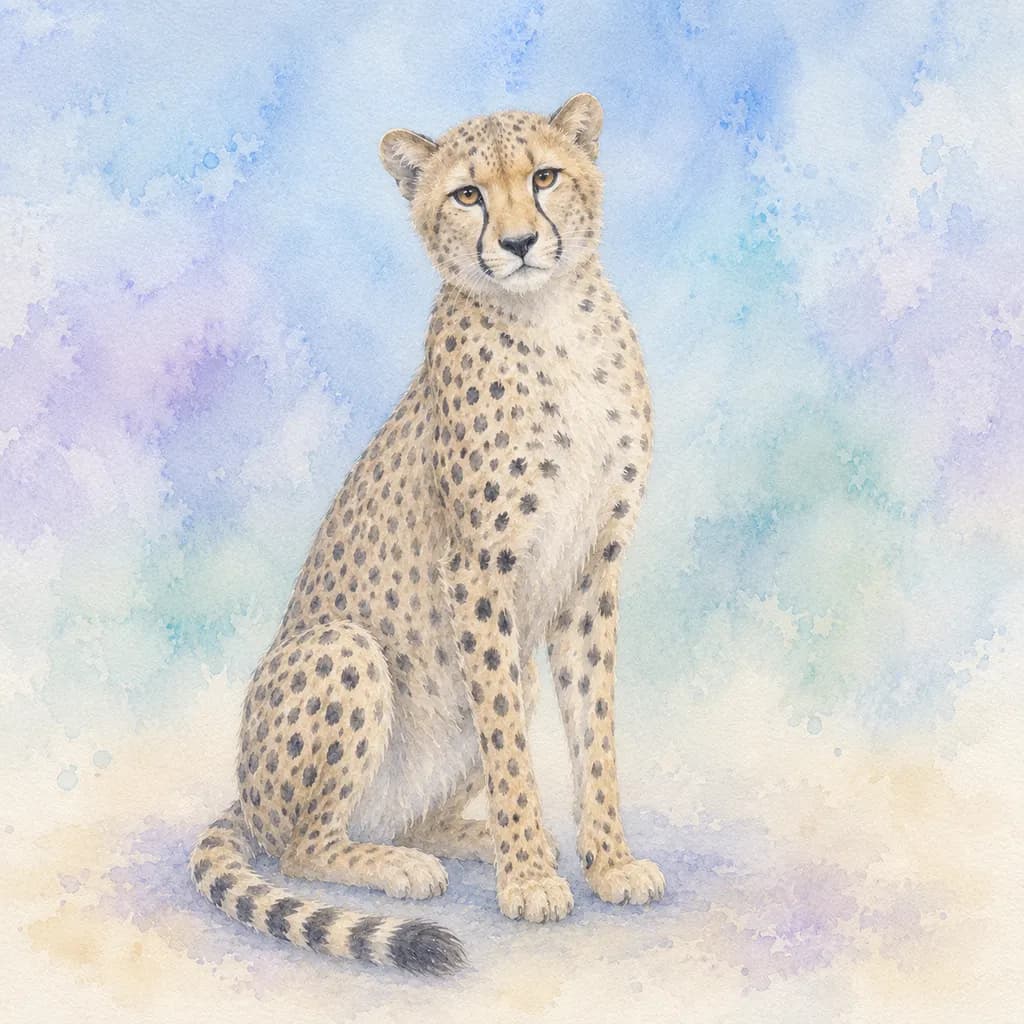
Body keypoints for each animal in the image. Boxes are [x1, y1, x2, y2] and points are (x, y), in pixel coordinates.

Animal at [189, 92, 664, 975]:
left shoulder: (592, 569)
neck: (550, 319)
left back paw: (475, 838)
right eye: (467, 195)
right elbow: (511, 747)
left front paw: (608, 861)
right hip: (343, 648)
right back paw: (407, 866)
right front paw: (530, 879)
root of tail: (246, 793)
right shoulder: (478, 570)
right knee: (302, 845)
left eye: (545, 177)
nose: (517, 243)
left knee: (411, 809)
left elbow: (595, 731)